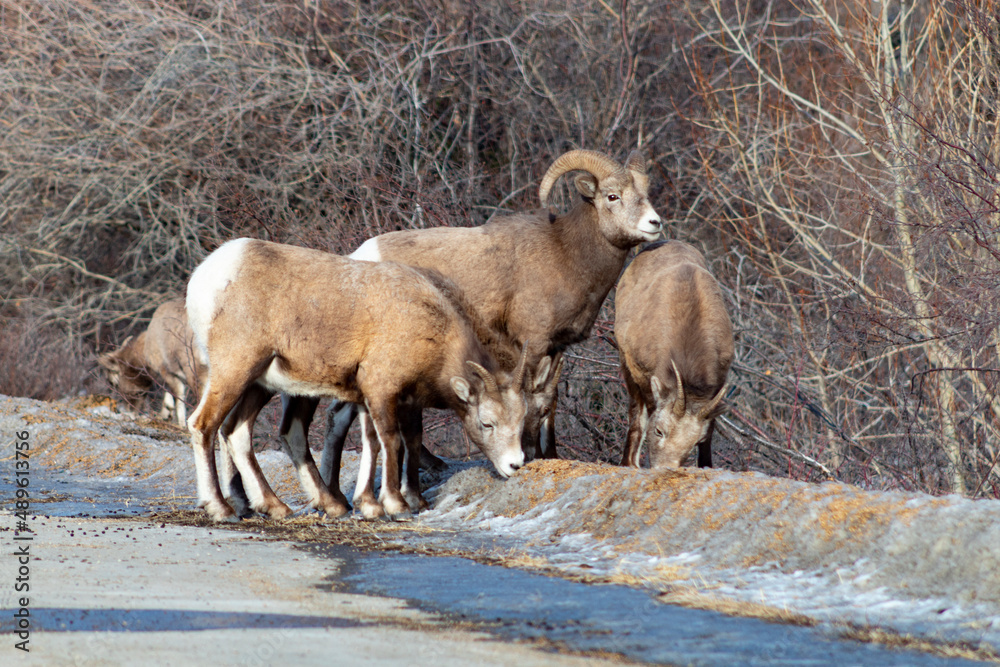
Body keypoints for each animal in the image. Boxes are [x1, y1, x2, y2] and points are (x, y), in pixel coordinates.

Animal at [185, 238, 528, 522]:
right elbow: (391, 439)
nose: (515, 465)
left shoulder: (372, 397)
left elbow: (374, 442)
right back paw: (223, 509)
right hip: (236, 370)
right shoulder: (382, 389)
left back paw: (283, 507)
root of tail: (204, 278)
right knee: (203, 425)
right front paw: (396, 506)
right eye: (487, 423)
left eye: (521, 422)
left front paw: (371, 505)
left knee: (238, 432)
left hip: (260, 384)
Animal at [308, 148, 662, 472]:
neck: (566, 254)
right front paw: (530, 454)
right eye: (612, 195)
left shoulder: (557, 347)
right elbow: (530, 399)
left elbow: (549, 403)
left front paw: (551, 456)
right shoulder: (532, 343)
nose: (655, 223)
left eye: (645, 192)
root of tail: (358, 259)